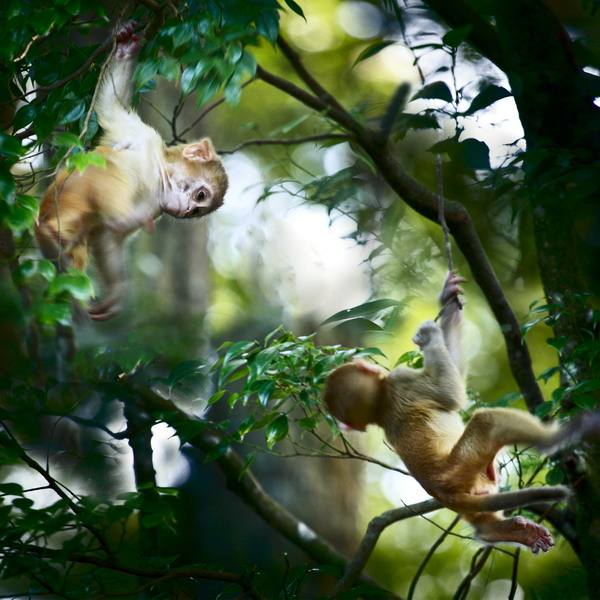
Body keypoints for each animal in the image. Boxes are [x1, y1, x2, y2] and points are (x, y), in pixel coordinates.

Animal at [35, 22, 229, 324]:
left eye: (197, 210)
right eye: (200, 196)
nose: (187, 210)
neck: (159, 173)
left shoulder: (157, 206)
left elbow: (107, 239)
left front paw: (116, 295)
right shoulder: (142, 136)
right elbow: (110, 108)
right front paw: (126, 48)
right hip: (67, 197)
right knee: (106, 174)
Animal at [324, 270, 600, 552]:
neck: (380, 405)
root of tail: (444, 491)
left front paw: (447, 296)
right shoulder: (404, 380)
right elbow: (452, 394)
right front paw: (430, 336)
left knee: (481, 518)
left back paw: (501, 532)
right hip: (465, 465)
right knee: (488, 420)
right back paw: (556, 438)